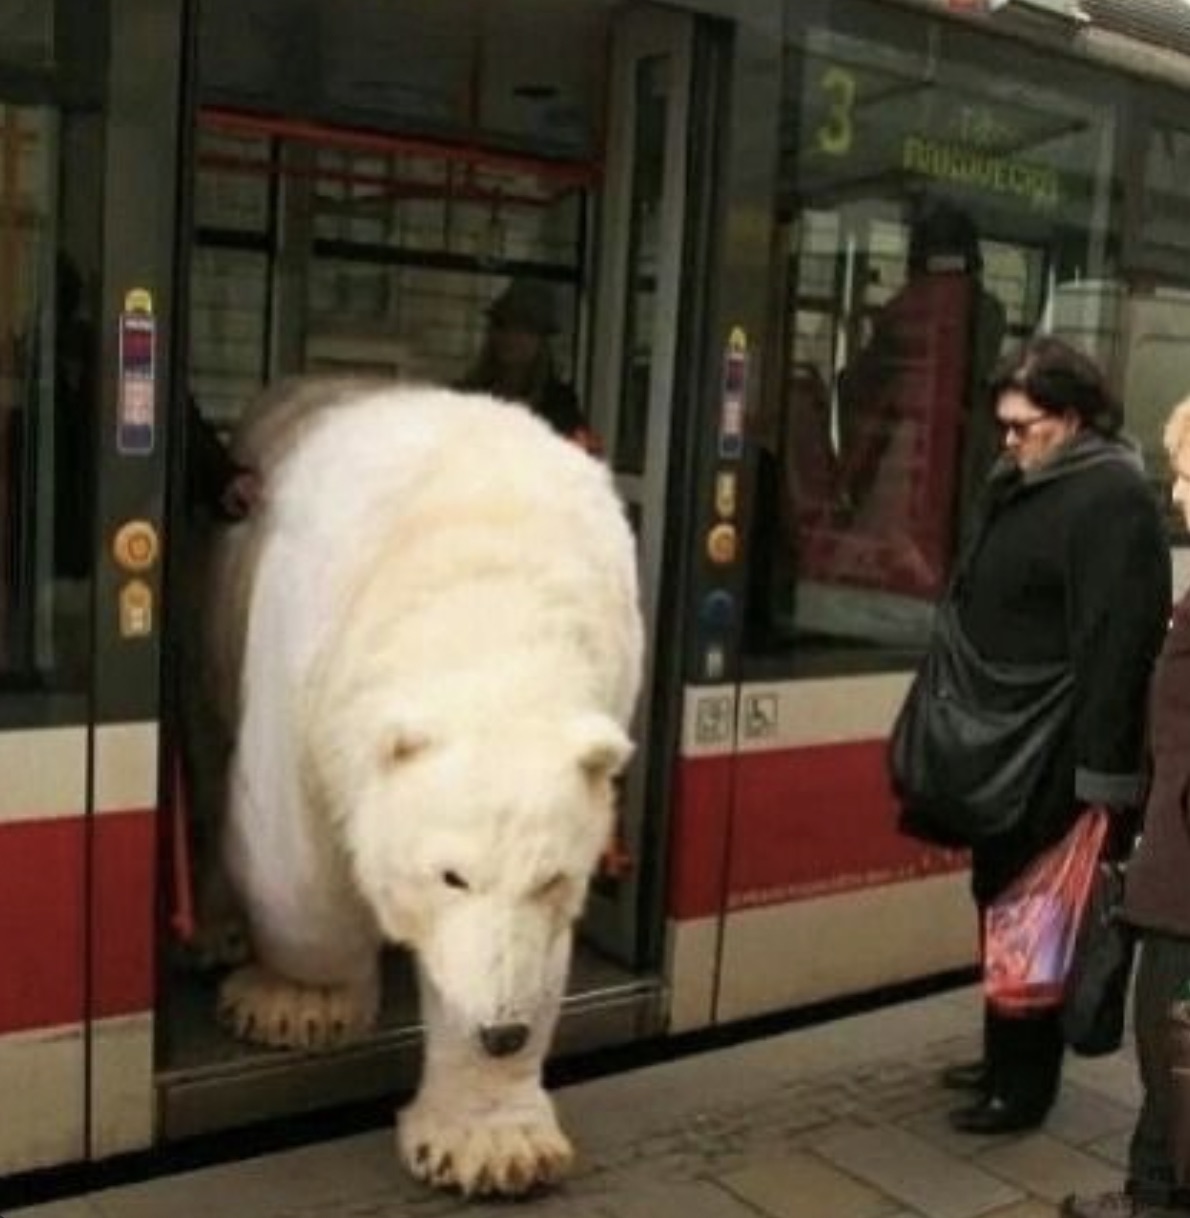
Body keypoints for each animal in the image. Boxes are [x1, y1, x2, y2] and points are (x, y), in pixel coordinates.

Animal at [209, 377, 643, 1188]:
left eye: (553, 877)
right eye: (451, 875)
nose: (502, 1031)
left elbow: (534, 952)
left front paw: (494, 1146)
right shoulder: (306, 659)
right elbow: (297, 862)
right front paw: (298, 1005)